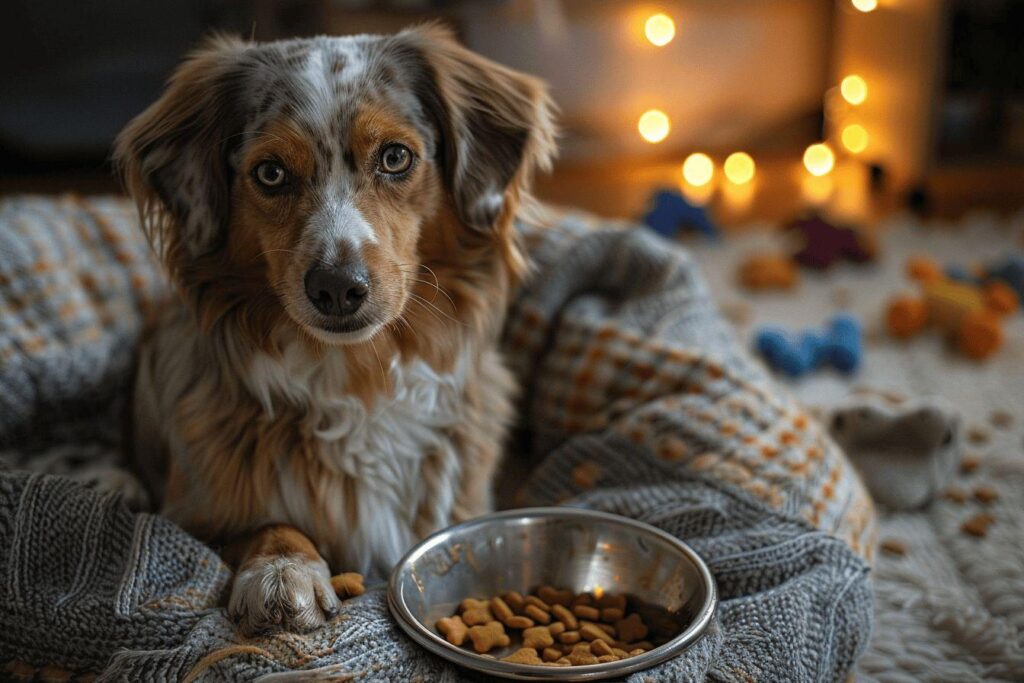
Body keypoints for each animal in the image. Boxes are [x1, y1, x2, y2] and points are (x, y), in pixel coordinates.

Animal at [116, 24, 557, 634]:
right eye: (270, 172)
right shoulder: (191, 515)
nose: (337, 287)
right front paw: (283, 571)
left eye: (395, 157)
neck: (357, 375)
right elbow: (264, 523)